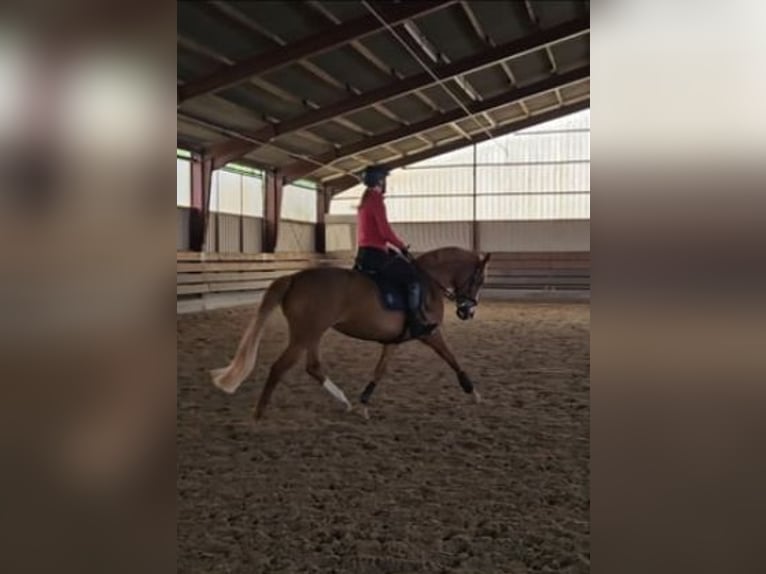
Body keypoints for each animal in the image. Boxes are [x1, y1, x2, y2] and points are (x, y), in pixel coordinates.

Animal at [209, 246, 492, 420]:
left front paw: (364, 403)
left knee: (313, 367)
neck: (428, 283)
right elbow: (452, 358)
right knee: (280, 367)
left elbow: (380, 370)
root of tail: (295, 278)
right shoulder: (429, 334)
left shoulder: (392, 342)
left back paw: (344, 402)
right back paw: (259, 413)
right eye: (479, 280)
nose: (467, 311)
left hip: (312, 334)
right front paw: (474, 393)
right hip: (304, 334)